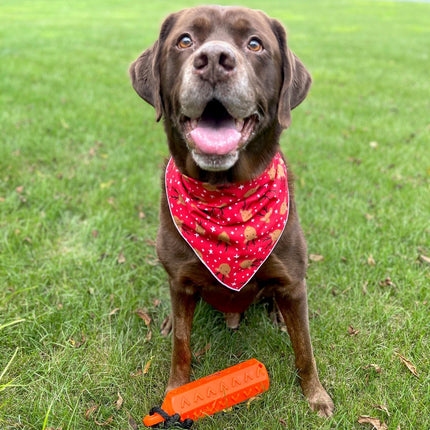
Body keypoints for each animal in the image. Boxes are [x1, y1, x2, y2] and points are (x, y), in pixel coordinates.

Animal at [129, 5, 334, 416]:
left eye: (255, 44)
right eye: (185, 40)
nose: (213, 60)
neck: (225, 197)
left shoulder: (293, 283)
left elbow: (305, 349)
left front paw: (316, 396)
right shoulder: (181, 282)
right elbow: (181, 347)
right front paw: (175, 391)